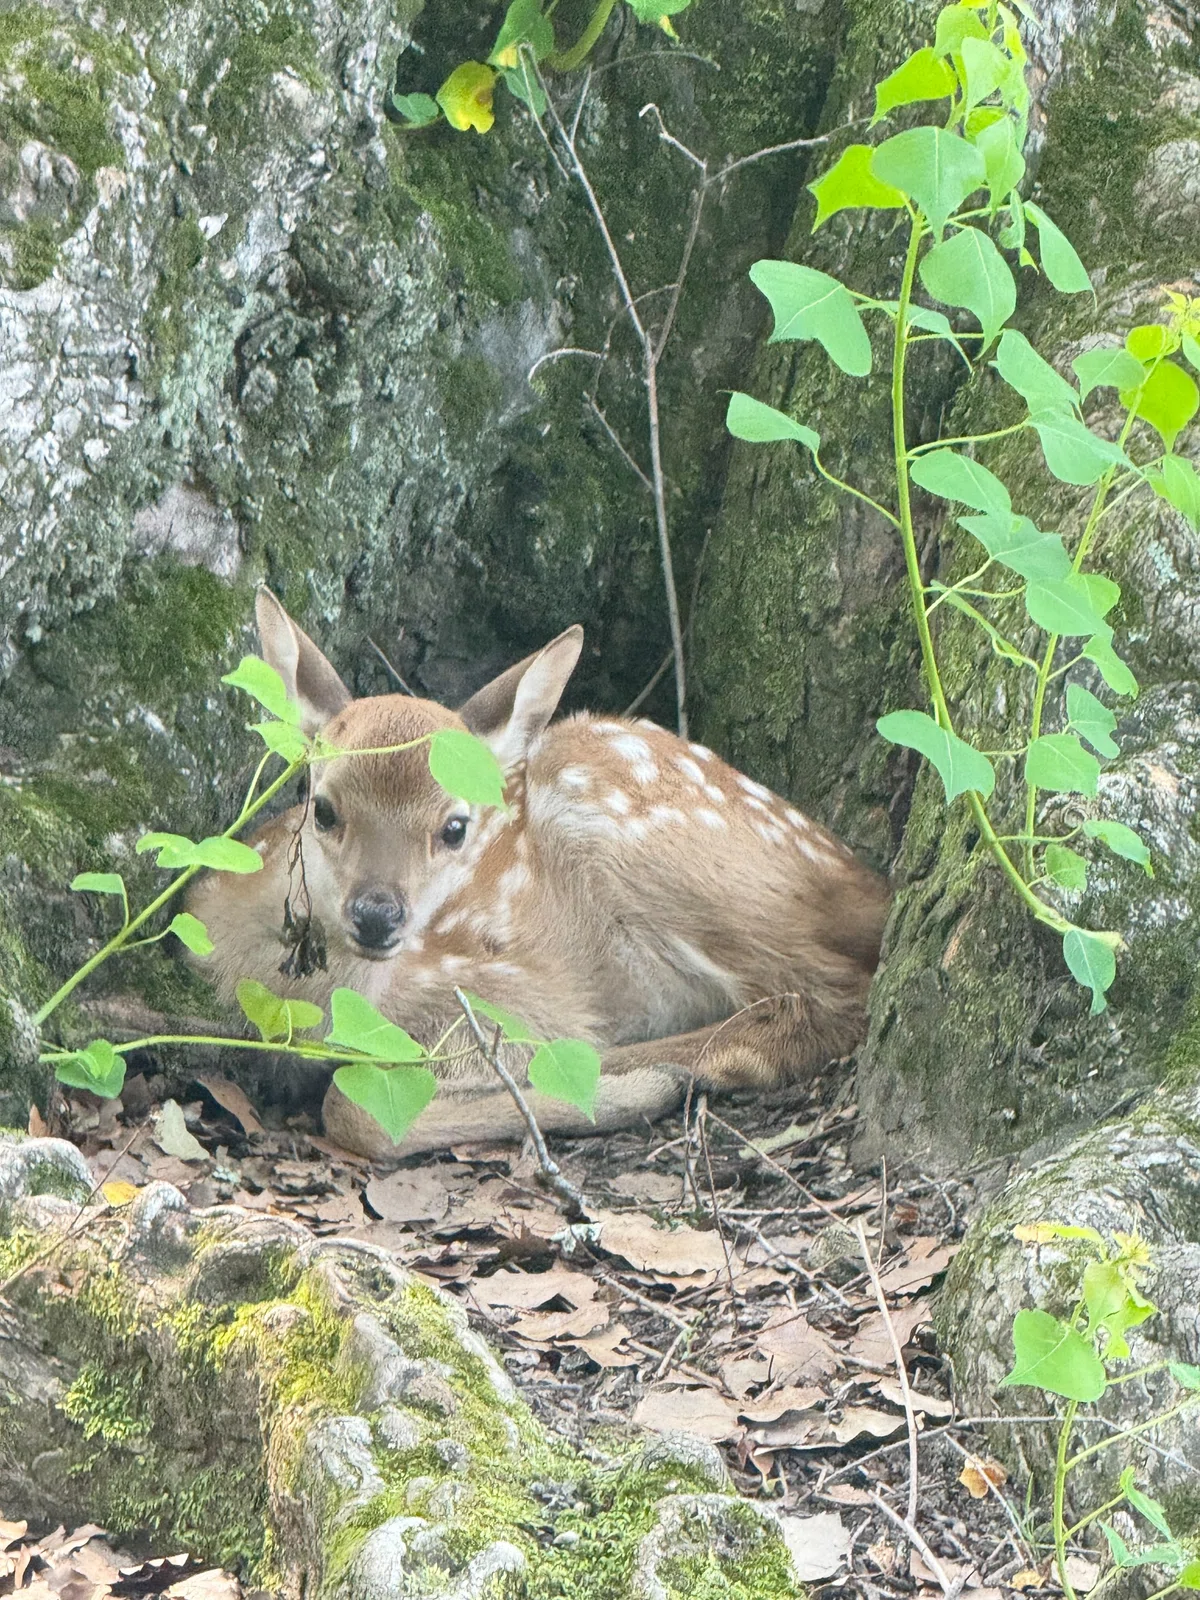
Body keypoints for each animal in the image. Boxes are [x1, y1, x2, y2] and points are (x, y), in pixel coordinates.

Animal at [186, 590, 892, 1161]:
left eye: (455, 827)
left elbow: (354, 1108)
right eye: (324, 807)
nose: (378, 913)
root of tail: (873, 886)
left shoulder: (509, 988)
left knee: (831, 997)